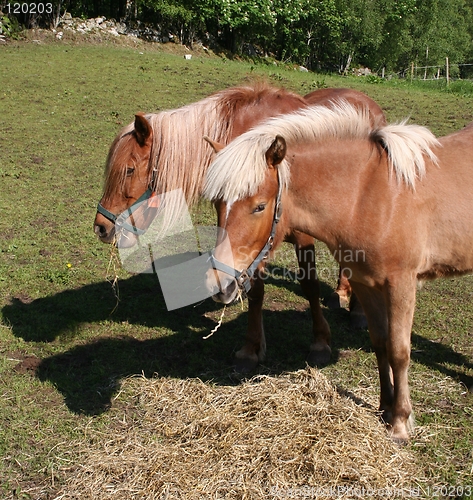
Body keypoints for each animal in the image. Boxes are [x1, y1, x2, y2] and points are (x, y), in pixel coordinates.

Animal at [92, 83, 384, 372]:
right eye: (217, 201)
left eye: (129, 170)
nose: (101, 227)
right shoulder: (251, 245)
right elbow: (255, 292)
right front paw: (251, 349)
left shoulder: (301, 239)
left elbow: (310, 285)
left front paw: (320, 343)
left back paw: (356, 310)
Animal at [201, 101, 466, 442]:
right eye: (217, 204)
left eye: (259, 206)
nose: (218, 283)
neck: (370, 195)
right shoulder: (366, 284)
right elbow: (380, 343)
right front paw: (384, 408)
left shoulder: (401, 284)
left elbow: (399, 351)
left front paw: (400, 422)